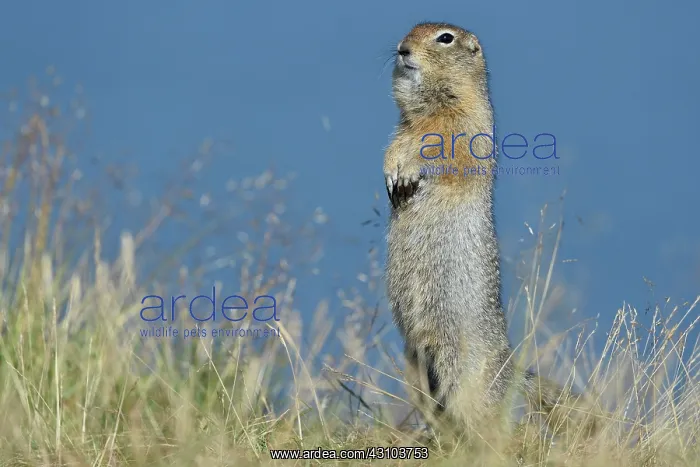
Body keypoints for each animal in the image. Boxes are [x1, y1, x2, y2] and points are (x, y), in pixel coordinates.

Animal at [383, 22, 596, 439]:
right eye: (410, 29)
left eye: (444, 38)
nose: (402, 49)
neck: (429, 108)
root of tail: (509, 366)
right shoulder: (402, 129)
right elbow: (392, 147)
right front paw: (390, 175)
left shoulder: (461, 127)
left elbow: (441, 152)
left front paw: (409, 171)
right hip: (415, 361)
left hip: (461, 366)